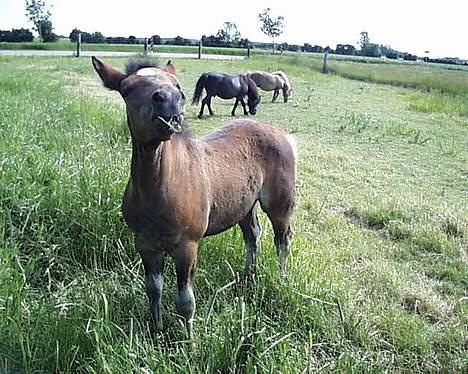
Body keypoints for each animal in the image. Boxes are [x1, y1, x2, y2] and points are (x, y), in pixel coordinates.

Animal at [92, 57, 296, 338]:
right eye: (127, 88)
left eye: (177, 85)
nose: (170, 100)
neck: (159, 189)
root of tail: (280, 133)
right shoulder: (145, 244)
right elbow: (153, 289)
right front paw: (156, 331)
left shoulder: (187, 246)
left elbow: (185, 301)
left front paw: (189, 342)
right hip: (245, 205)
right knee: (253, 236)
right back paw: (248, 278)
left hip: (279, 204)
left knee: (282, 239)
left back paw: (281, 277)